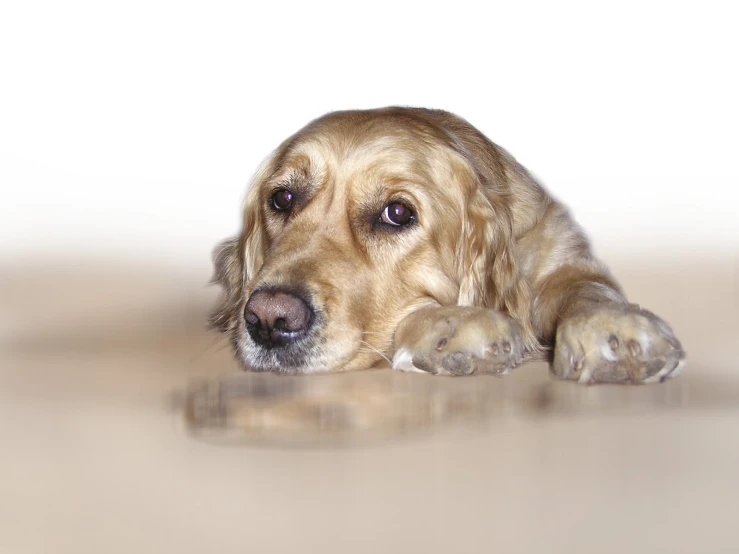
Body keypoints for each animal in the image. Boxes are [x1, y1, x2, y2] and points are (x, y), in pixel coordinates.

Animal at [211, 105, 684, 382]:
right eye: (282, 199)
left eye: (397, 213)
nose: (269, 319)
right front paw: (454, 324)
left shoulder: (562, 254)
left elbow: (589, 289)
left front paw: (613, 327)